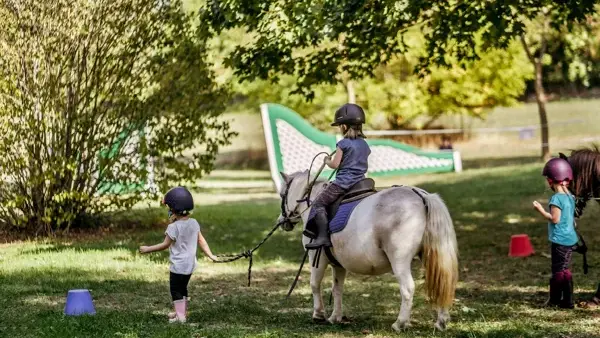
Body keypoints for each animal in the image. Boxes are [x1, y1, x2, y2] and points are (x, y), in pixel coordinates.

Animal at [278, 170, 460, 332]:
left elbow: (315, 284)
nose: (282, 221)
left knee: (408, 289)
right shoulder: (338, 265)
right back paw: (441, 322)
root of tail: (420, 195)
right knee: (442, 283)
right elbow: (337, 289)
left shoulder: (317, 258)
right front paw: (335, 317)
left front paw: (318, 315)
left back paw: (400, 323)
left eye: (281, 195)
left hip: (399, 260)